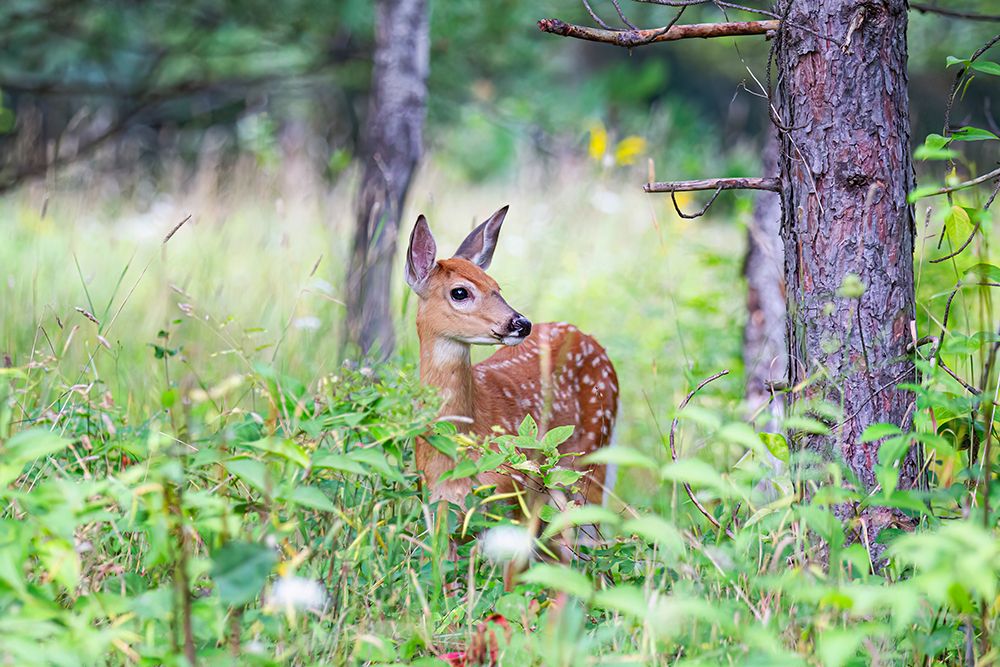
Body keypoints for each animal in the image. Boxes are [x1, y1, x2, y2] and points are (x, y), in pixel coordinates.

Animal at [405, 205, 619, 515]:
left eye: (496, 287)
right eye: (460, 292)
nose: (522, 323)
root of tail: (586, 336)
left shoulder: (511, 490)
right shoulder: (435, 505)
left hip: (592, 451)